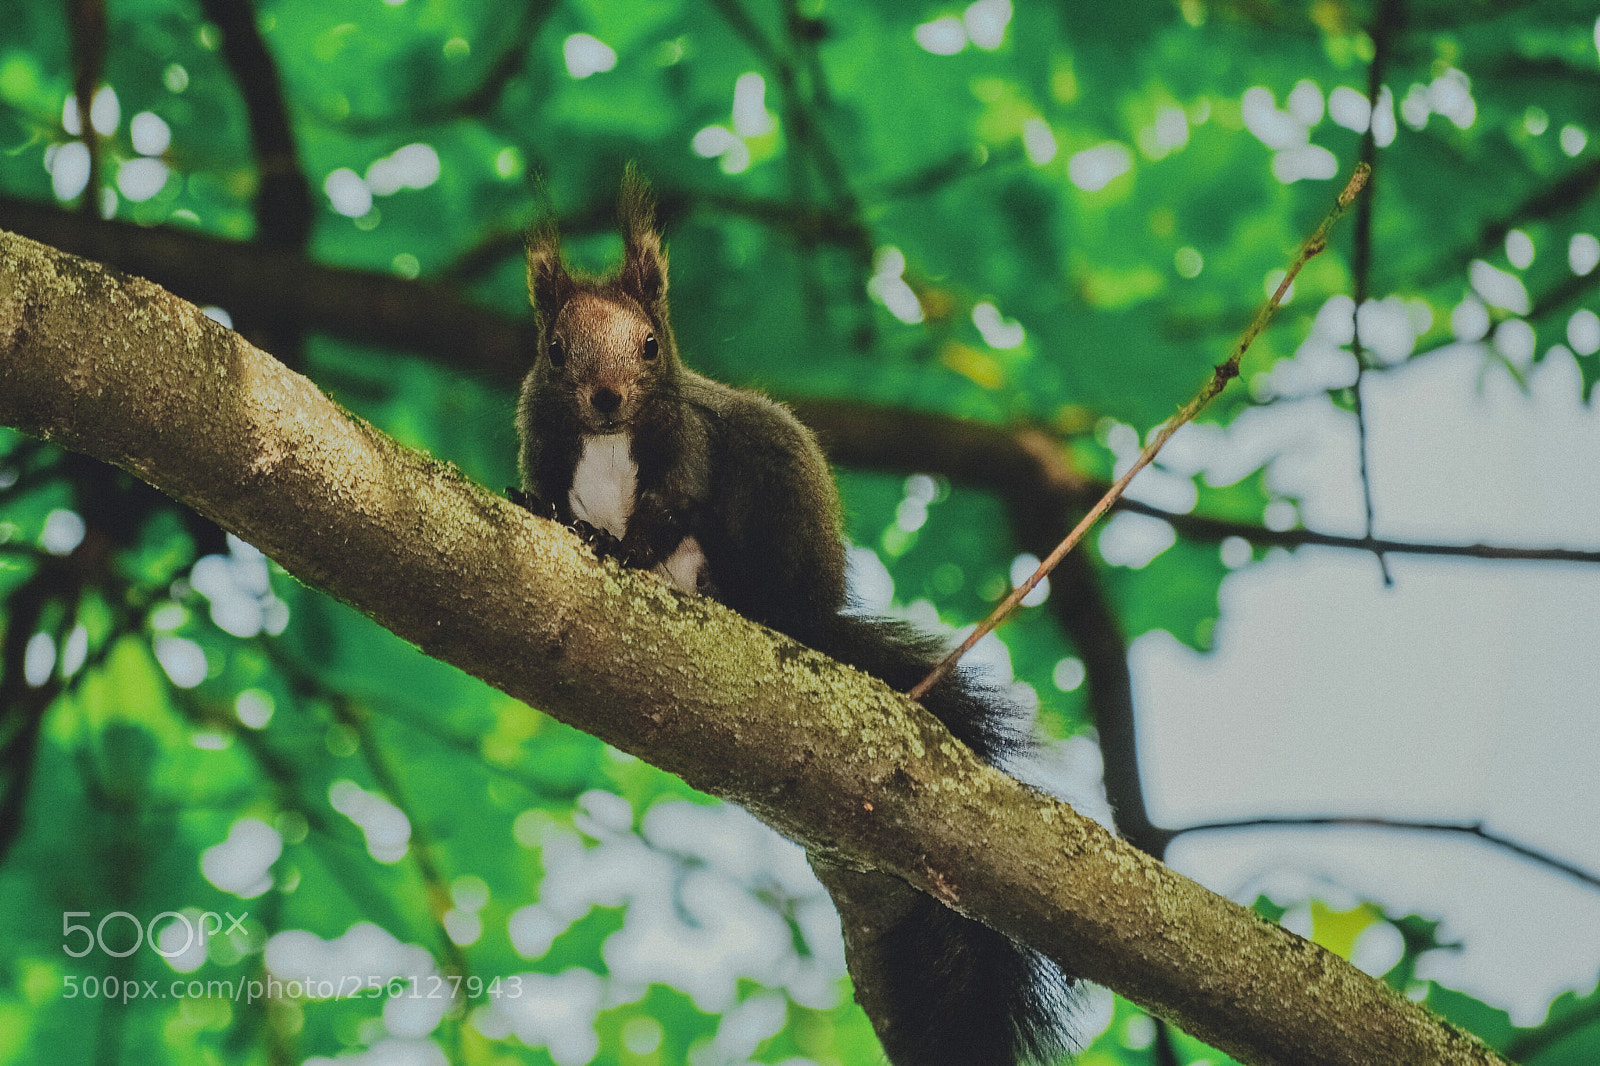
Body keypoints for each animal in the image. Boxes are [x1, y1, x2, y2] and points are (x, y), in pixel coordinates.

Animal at [511, 167, 1078, 1066]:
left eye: (650, 345)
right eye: (556, 349)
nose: (604, 399)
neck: (608, 440)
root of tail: (810, 624)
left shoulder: (689, 449)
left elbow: (672, 508)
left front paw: (626, 549)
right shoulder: (543, 437)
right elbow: (545, 488)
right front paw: (545, 511)